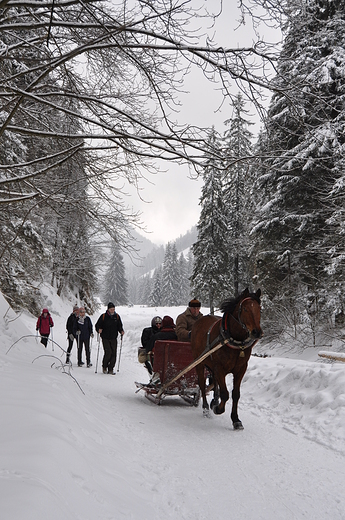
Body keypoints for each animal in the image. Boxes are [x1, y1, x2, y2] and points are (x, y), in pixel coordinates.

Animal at [191, 286, 260, 428]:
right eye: (245, 309)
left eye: (259, 309)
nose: (257, 332)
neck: (232, 339)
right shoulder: (220, 368)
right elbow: (225, 393)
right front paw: (218, 409)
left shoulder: (240, 369)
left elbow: (235, 394)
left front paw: (235, 419)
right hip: (200, 363)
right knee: (202, 385)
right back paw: (206, 408)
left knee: (214, 383)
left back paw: (214, 400)